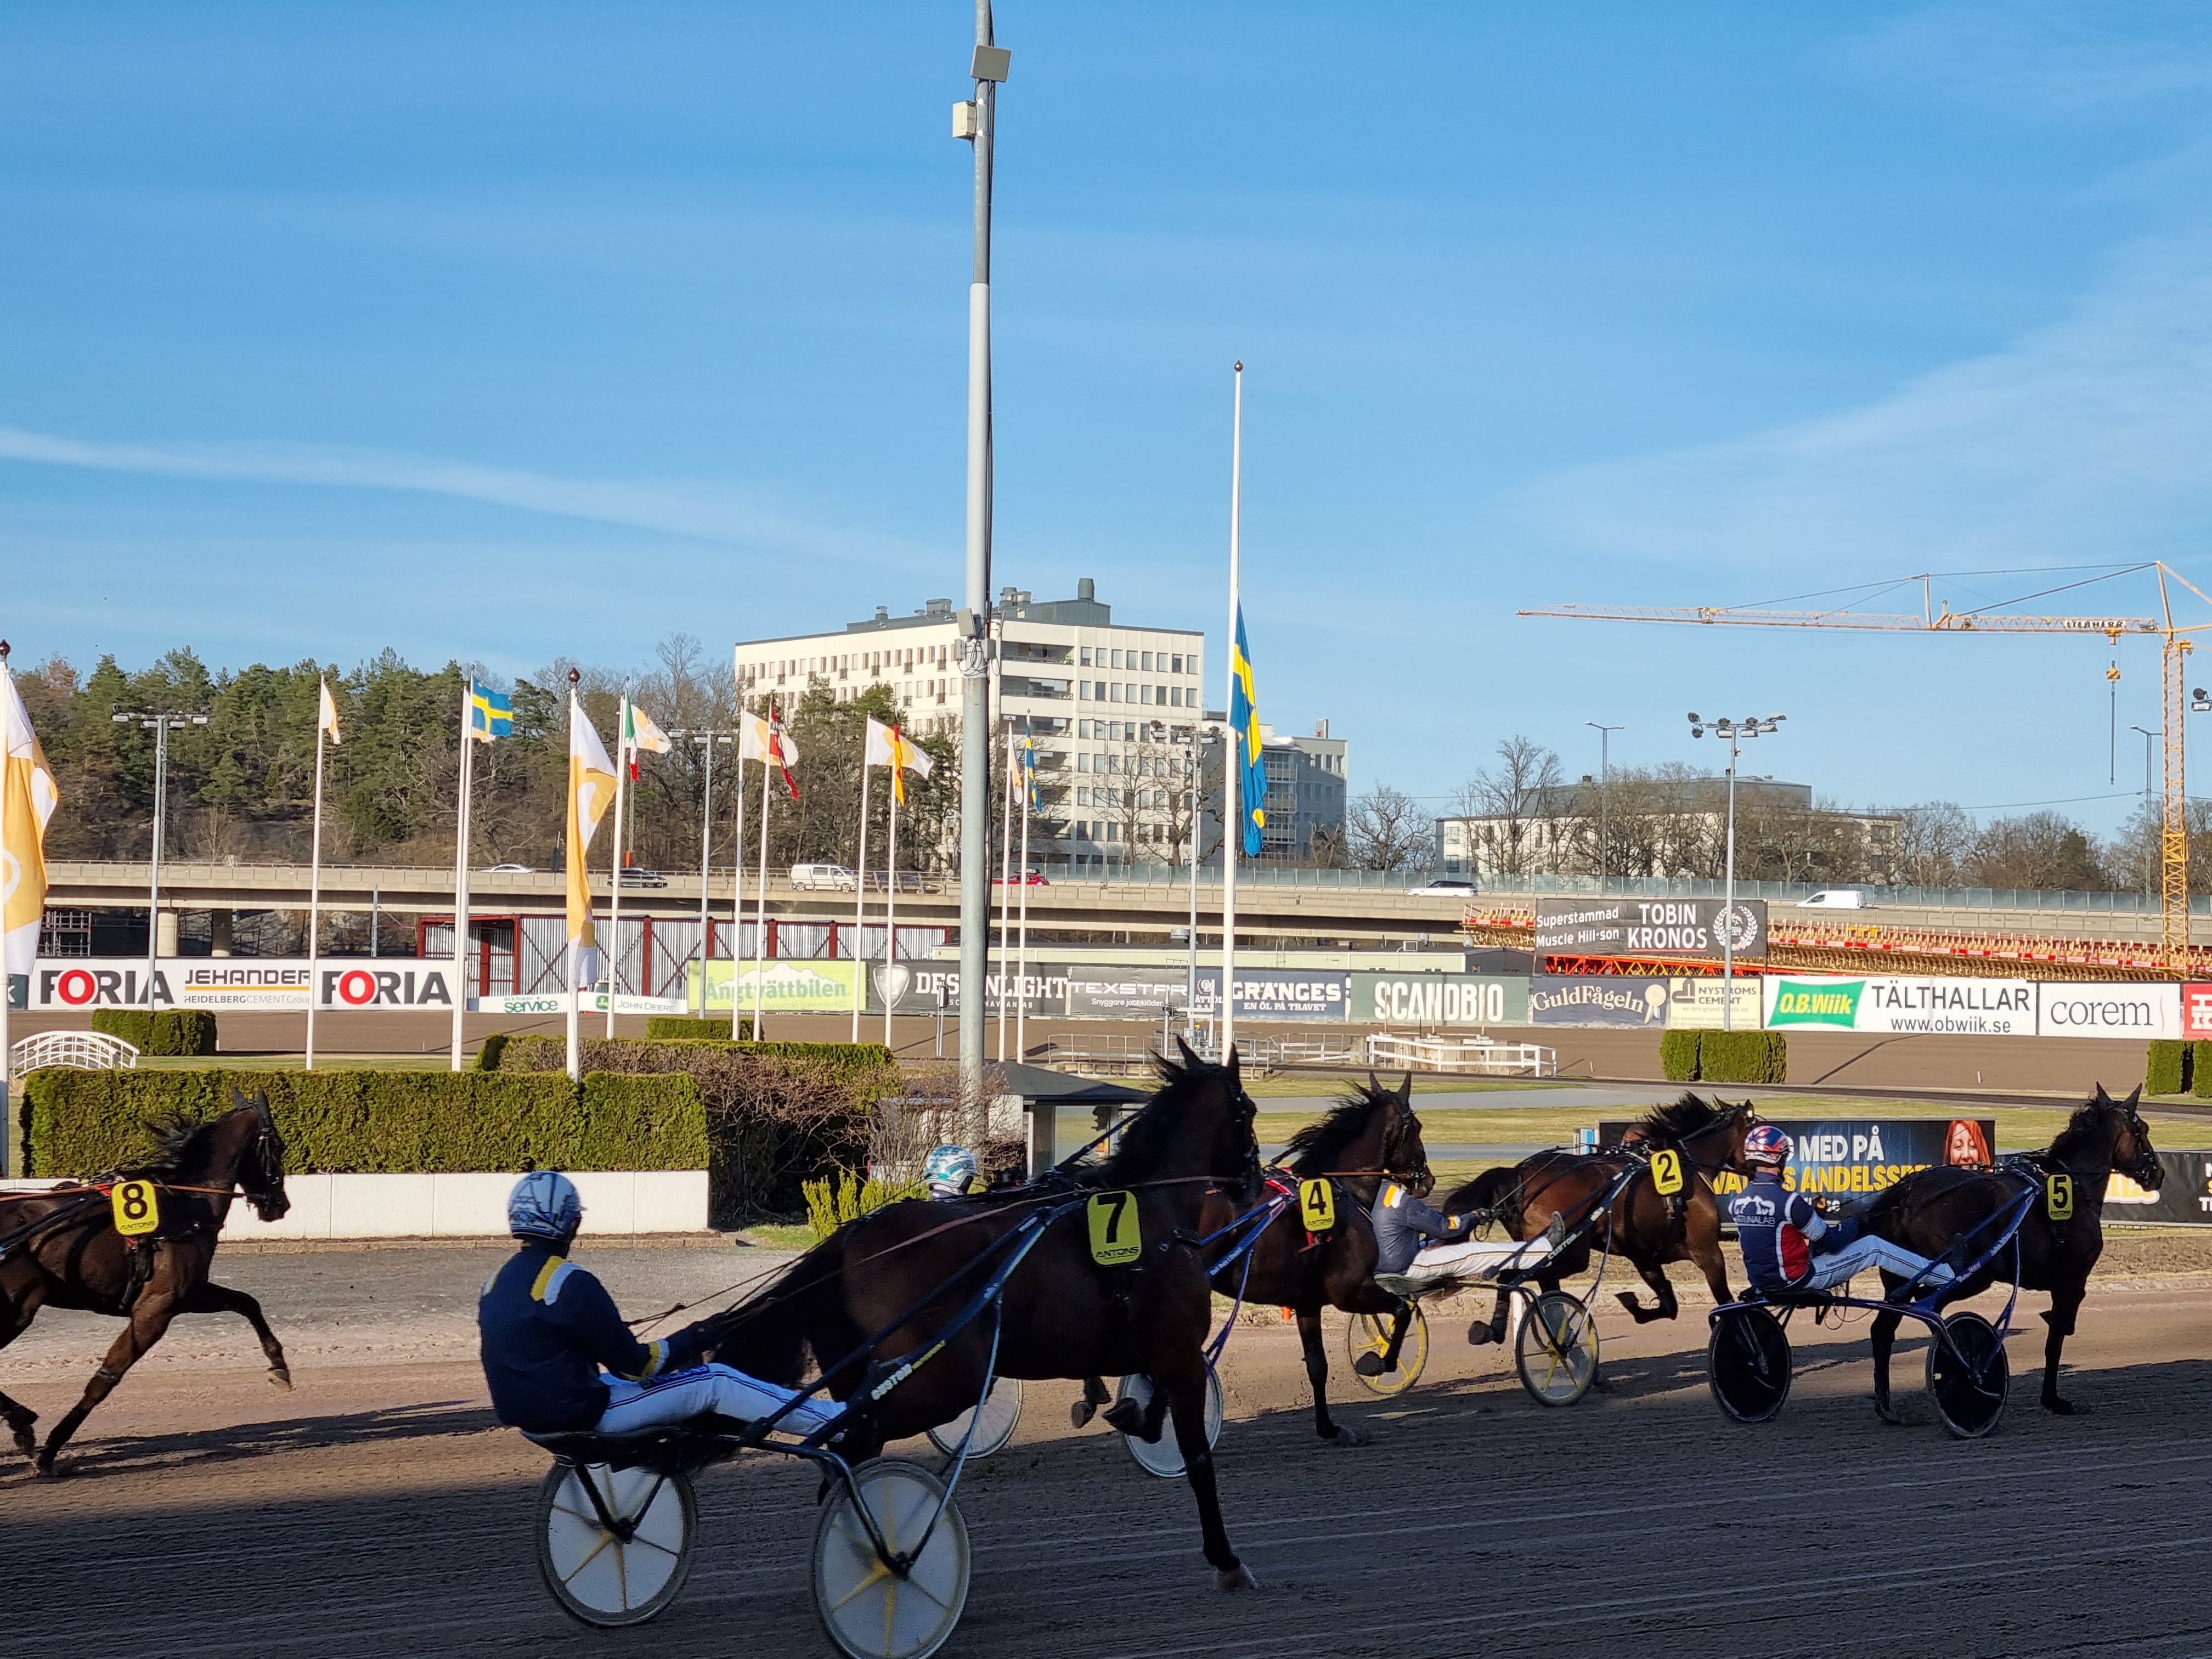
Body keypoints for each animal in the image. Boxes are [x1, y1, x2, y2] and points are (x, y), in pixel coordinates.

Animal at [0, 1097, 292, 1477]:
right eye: (278, 1146)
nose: (281, 1205)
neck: (183, 1207)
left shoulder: (185, 1295)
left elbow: (247, 1302)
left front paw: (279, 1367)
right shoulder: (156, 1308)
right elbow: (105, 1379)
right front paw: (49, 1451)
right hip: (21, 1301)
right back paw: (22, 1420)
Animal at [1194, 1070, 1433, 1451]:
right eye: (1418, 1127)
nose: (1428, 1180)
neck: (1343, 1192)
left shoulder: (1306, 1302)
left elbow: (1318, 1366)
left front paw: (1329, 1428)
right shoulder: (1349, 1291)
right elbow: (1401, 1310)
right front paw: (1378, 1361)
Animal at [1433, 1097, 1760, 1353]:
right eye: (1758, 1130)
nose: (1769, 1167)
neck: (1687, 1168)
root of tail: (1521, 1175)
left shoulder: (1644, 1257)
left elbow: (1669, 1305)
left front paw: (1632, 1304)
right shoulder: (1707, 1251)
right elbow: (1725, 1300)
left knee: (1523, 1278)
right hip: (1570, 1252)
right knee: (1515, 1274)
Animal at [1867, 1084, 2159, 1424]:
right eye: (2142, 1130)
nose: (2159, 1172)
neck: (2074, 1182)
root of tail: (1909, 1192)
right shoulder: (2071, 1281)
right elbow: (2056, 1339)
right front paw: (2054, 1400)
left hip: (1900, 1278)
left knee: (1884, 1329)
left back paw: (1887, 1406)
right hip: (1975, 1273)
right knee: (1930, 1308)